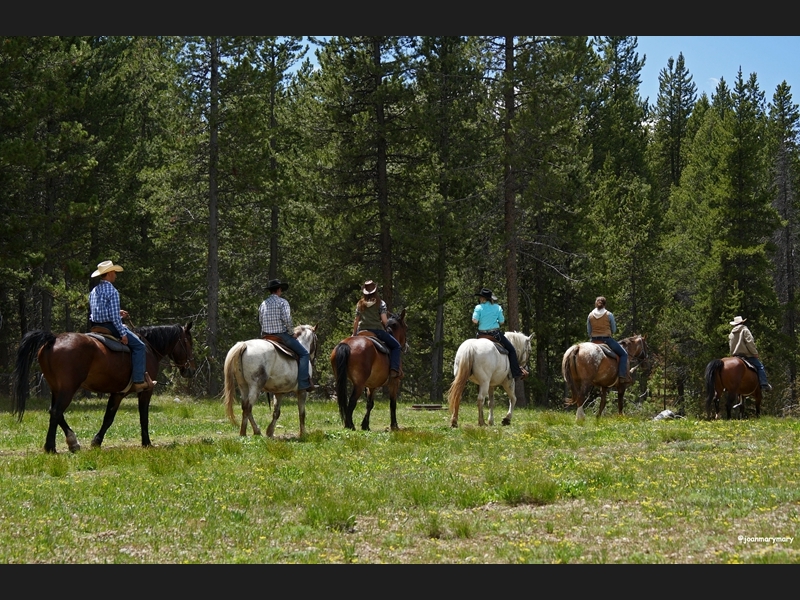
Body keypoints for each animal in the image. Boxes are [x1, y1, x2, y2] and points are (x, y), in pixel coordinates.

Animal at [12, 322, 195, 452]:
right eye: (189, 343)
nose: (190, 370)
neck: (149, 347)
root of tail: (53, 339)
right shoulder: (145, 390)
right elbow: (143, 417)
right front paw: (147, 443)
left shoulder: (117, 393)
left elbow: (108, 417)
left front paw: (96, 442)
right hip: (68, 389)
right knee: (56, 412)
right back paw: (51, 447)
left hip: (56, 389)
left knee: (55, 412)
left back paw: (72, 443)